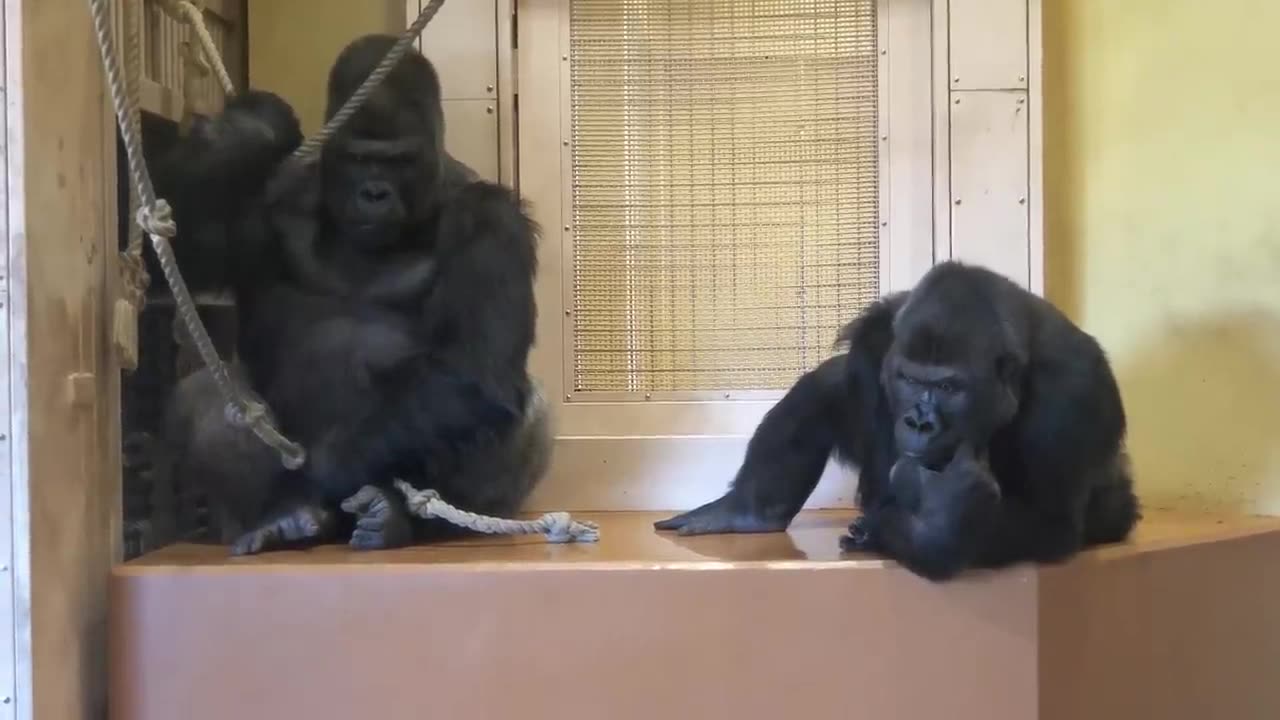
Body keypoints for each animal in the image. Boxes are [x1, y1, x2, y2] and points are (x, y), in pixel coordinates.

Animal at [151, 35, 550, 556]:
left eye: (399, 161)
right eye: (359, 159)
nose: (374, 194)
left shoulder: (492, 216)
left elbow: (473, 371)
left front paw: (326, 468)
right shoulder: (273, 194)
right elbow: (179, 253)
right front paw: (254, 128)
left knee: (519, 405)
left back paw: (397, 519)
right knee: (209, 393)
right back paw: (284, 516)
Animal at [660, 260, 1141, 579]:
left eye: (949, 387)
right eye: (910, 379)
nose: (919, 422)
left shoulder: (1074, 394)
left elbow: (1048, 521)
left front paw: (939, 524)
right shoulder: (877, 337)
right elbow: (881, 467)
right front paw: (930, 516)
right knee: (829, 383)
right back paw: (752, 511)